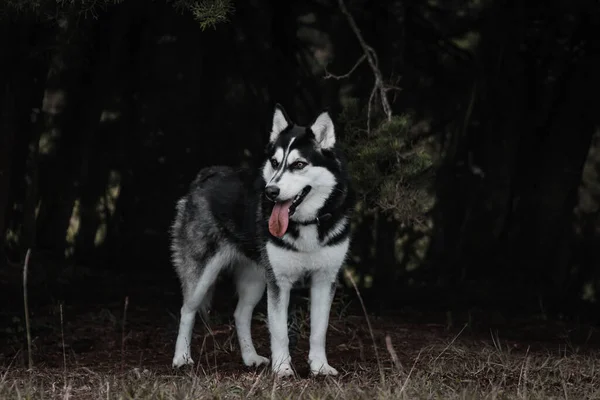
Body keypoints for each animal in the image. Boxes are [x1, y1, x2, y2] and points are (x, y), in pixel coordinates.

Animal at [170, 104, 352, 378]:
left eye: (299, 164)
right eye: (275, 163)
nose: (271, 192)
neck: (306, 224)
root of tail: (207, 174)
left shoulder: (324, 279)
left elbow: (319, 330)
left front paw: (320, 366)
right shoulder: (279, 283)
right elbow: (279, 331)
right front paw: (283, 368)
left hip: (255, 277)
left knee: (240, 314)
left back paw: (250, 357)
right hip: (202, 274)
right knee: (187, 310)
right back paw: (181, 357)